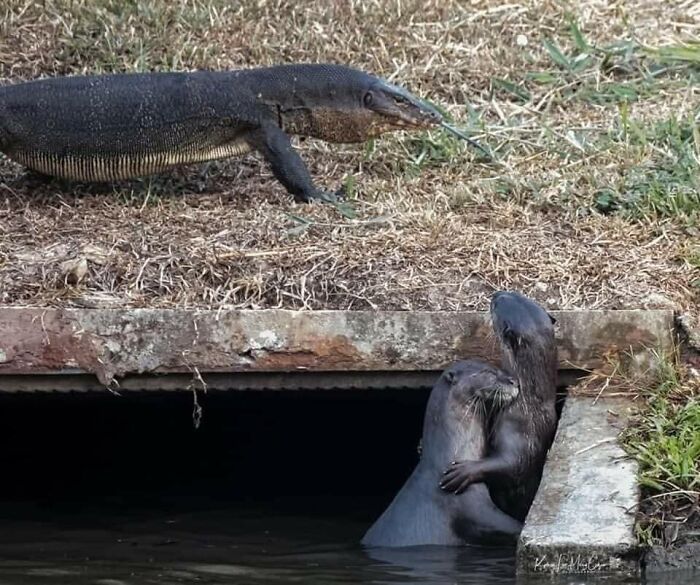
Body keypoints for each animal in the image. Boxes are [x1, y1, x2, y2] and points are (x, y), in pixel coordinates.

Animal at [440, 291, 558, 523]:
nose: (496, 293)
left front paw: (465, 471)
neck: (524, 400)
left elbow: (512, 465)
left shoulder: (521, 433)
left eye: (497, 304)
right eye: (515, 293)